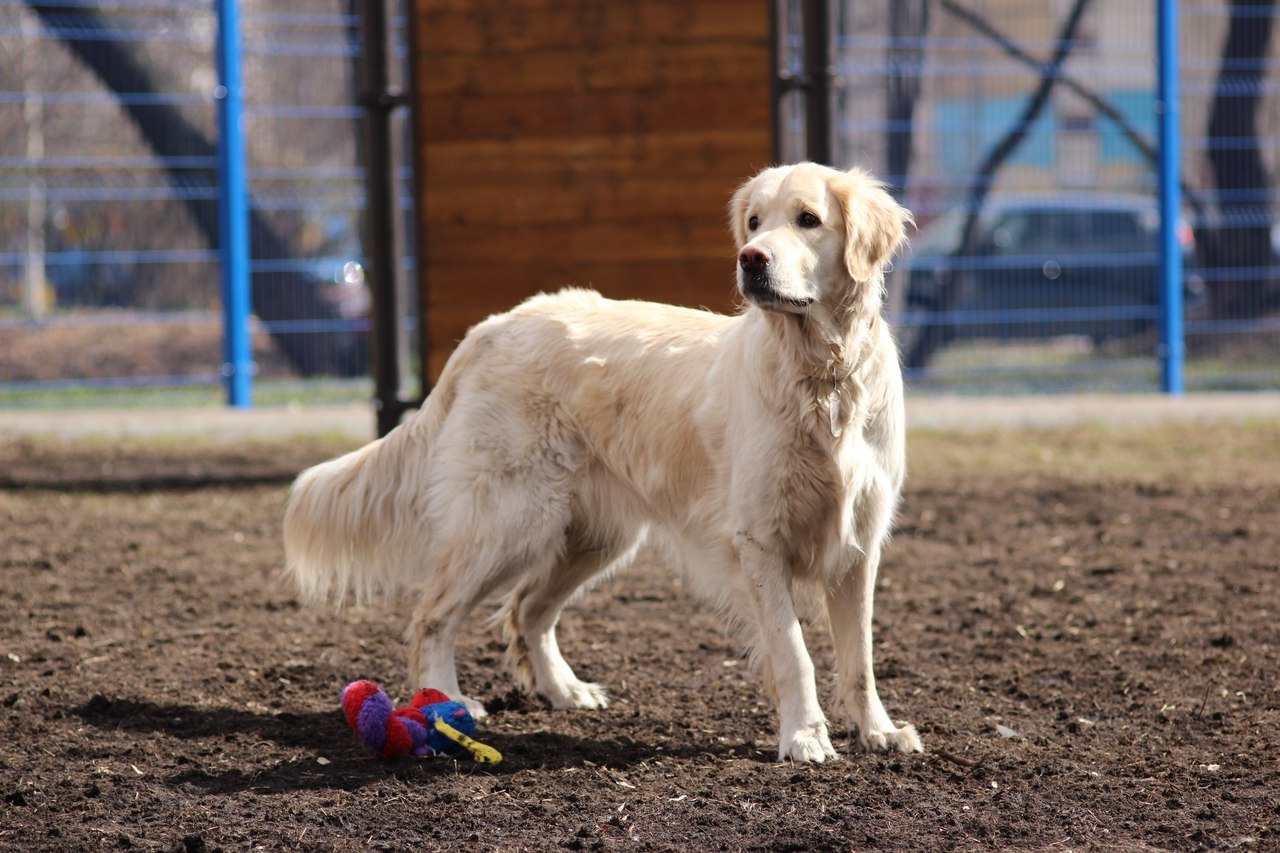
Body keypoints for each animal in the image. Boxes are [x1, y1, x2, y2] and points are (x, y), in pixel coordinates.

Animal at [282, 162, 921, 758]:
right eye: (755, 222)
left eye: (808, 219)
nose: (751, 259)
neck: (824, 378)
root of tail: (495, 326)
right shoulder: (760, 541)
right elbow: (794, 653)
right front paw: (806, 737)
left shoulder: (859, 547)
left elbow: (860, 659)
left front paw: (879, 732)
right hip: (510, 521)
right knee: (432, 616)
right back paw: (447, 702)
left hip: (593, 536)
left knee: (527, 610)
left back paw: (564, 690)